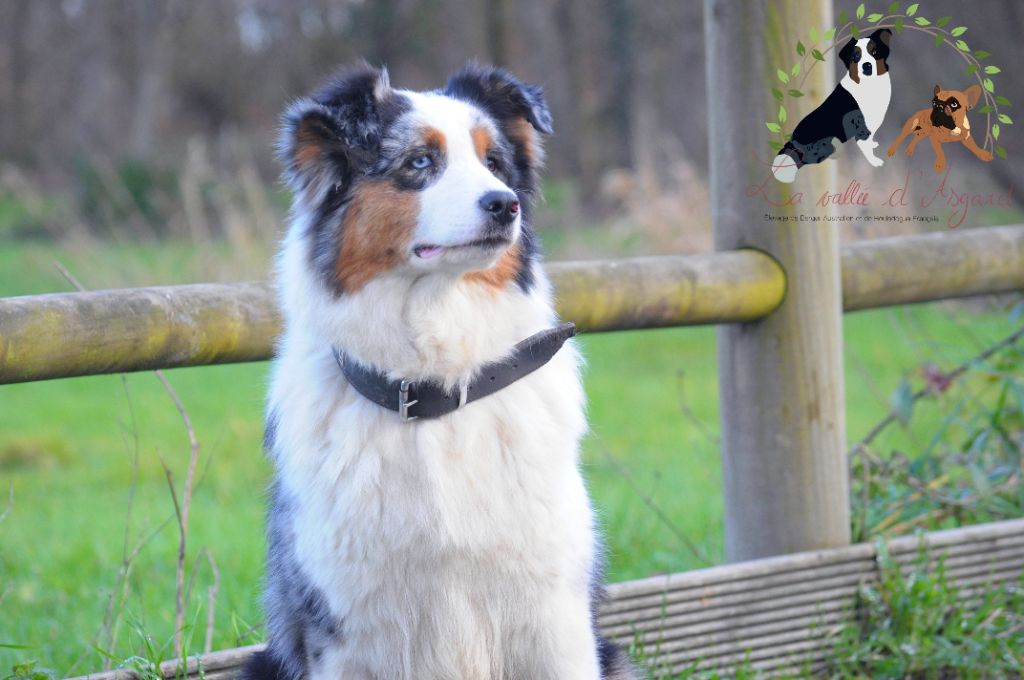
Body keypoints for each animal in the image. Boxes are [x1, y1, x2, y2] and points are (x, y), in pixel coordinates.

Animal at [240, 63, 638, 680]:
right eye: (420, 162)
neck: (435, 389)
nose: (504, 204)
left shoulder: (557, 614)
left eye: (494, 162)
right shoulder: (341, 628)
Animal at [770, 27, 892, 183]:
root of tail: (792, 140)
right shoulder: (861, 126)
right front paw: (875, 161)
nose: (867, 66)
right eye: (855, 56)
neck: (870, 85)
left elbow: (870, 139)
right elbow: (865, 146)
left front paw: (873, 144)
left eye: (875, 52)